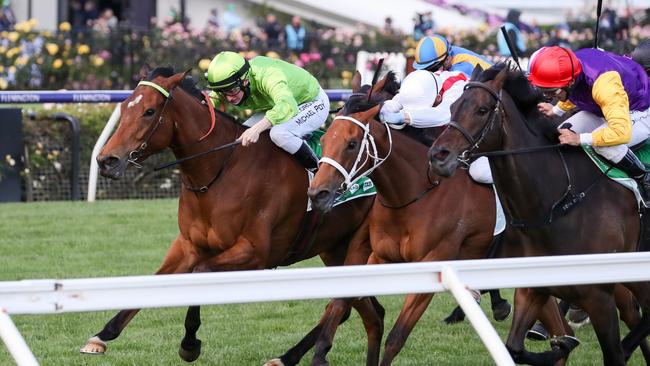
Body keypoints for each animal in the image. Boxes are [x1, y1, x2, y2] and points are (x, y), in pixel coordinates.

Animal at [84, 66, 384, 366]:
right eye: (124, 106)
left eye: (149, 111)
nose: (106, 160)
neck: (219, 173)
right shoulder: (188, 245)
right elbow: (153, 281)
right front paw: (102, 336)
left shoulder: (253, 252)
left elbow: (200, 272)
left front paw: (189, 343)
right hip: (334, 248)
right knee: (369, 312)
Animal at [304, 73, 552, 364]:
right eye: (325, 139)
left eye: (352, 144)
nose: (317, 194)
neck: (412, 197)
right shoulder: (374, 255)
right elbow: (341, 302)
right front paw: (320, 350)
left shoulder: (433, 263)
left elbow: (395, 338)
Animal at [428, 63, 648, 364]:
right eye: (452, 107)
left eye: (482, 110)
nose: (438, 156)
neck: (557, 205)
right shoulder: (532, 288)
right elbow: (514, 348)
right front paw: (561, 344)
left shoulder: (599, 297)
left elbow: (613, 353)